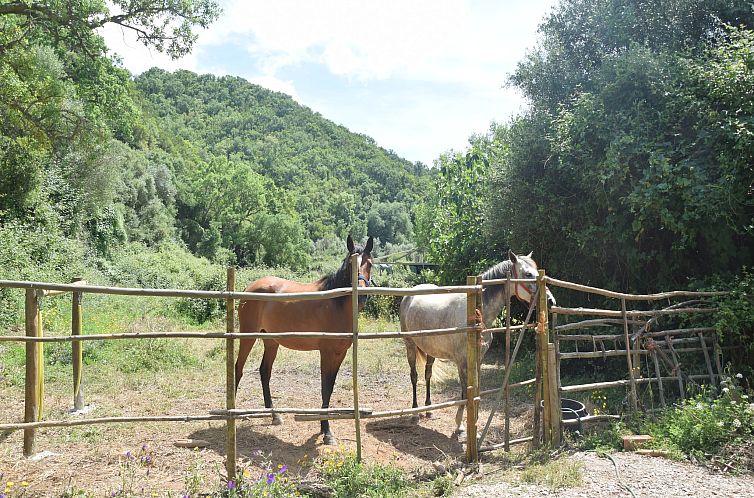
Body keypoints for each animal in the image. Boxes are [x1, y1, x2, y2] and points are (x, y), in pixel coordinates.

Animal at [235, 235, 374, 446]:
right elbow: (325, 388)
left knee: (264, 372)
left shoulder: (340, 353)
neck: (335, 304)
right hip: (247, 336)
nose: (363, 296)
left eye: (370, 264)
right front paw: (326, 432)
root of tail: (249, 287)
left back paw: (274, 415)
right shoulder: (326, 353)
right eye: (351, 264)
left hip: (271, 341)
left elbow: (330, 388)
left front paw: (324, 429)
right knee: (238, 368)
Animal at [400, 251, 552, 438]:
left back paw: (428, 409)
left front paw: (475, 427)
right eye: (528, 274)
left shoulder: (477, 360)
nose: (551, 301)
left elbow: (476, 390)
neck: (476, 316)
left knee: (427, 375)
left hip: (430, 351)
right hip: (410, 346)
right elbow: (466, 391)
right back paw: (414, 412)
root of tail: (410, 295)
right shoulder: (462, 362)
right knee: (414, 376)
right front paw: (460, 426)